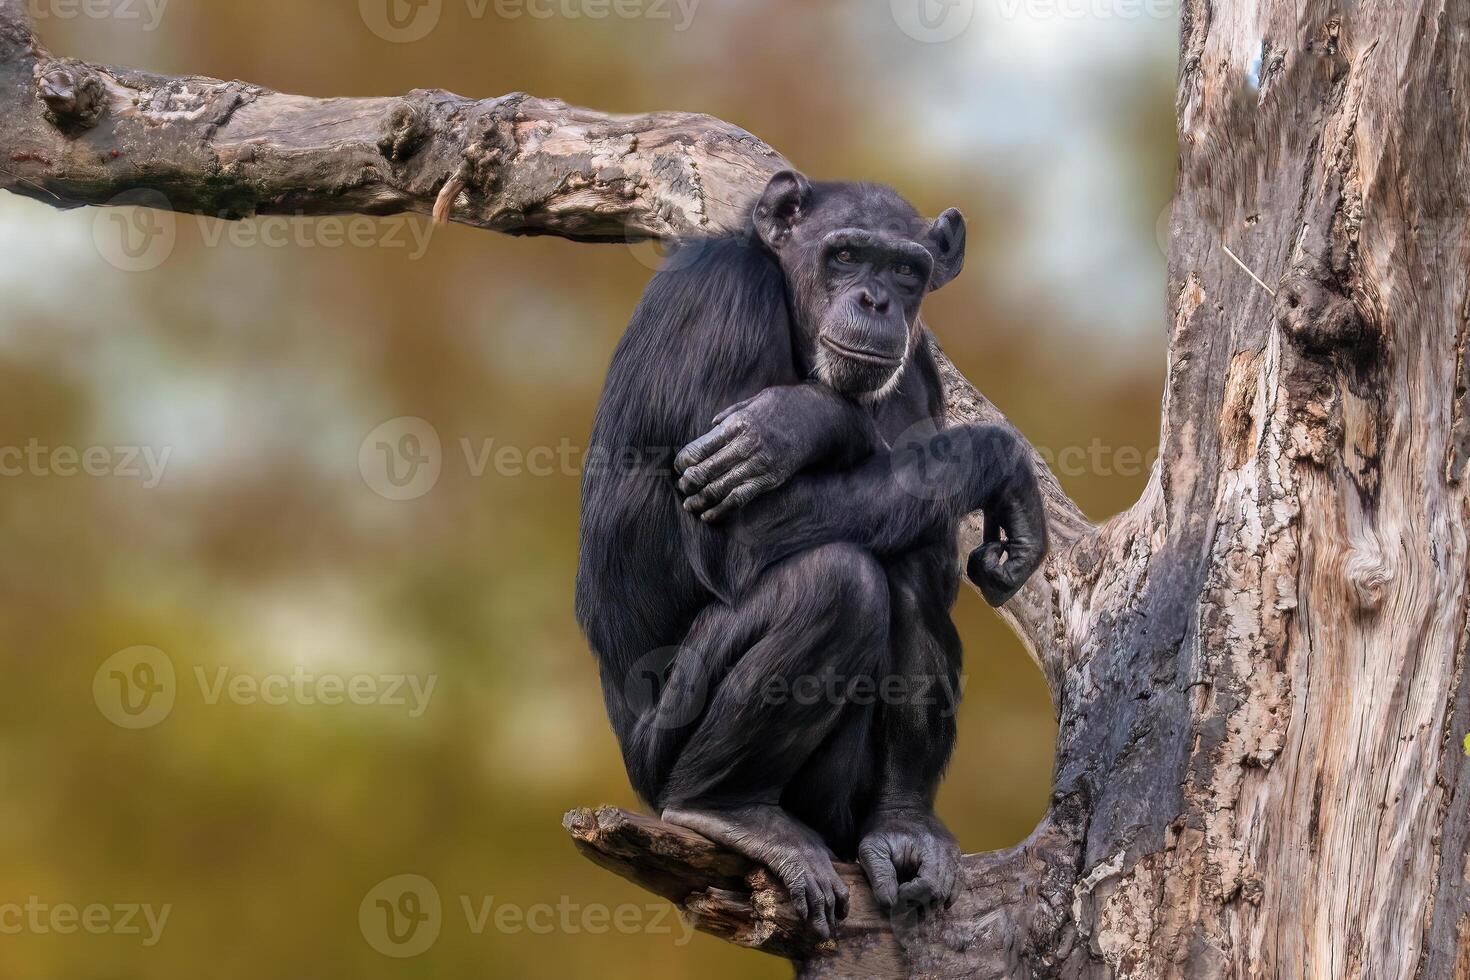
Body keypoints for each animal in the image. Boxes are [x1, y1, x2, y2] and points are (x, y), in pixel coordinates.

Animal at [573, 172, 1046, 940]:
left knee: (900, 559)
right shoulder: (722, 301)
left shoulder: (918, 369)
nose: (877, 300)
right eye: (846, 254)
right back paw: (727, 809)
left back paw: (897, 826)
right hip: (659, 751)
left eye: (906, 270)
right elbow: (738, 534)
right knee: (836, 580)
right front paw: (817, 420)